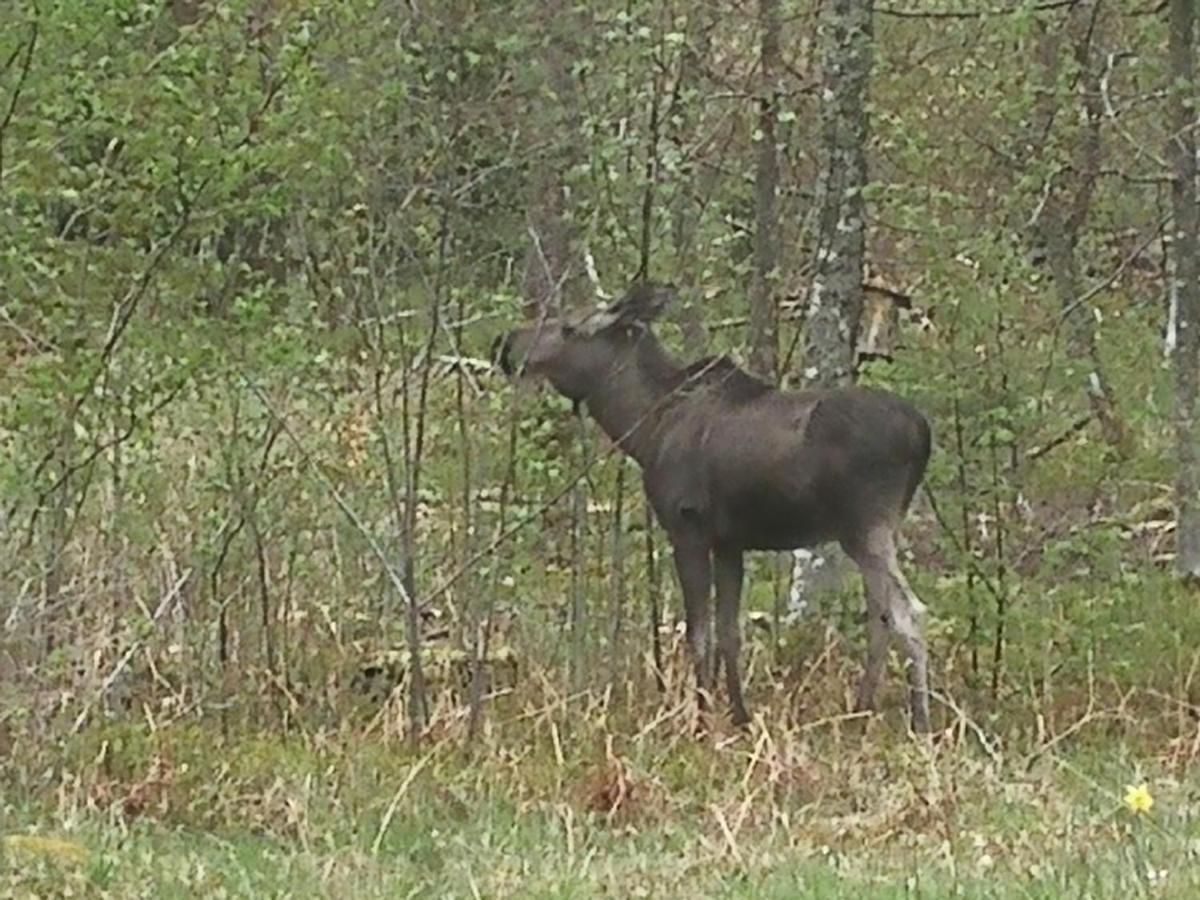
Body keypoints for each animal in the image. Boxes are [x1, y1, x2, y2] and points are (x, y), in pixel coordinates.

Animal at [496, 285, 936, 734]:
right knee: (881, 616)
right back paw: (861, 712)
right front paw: (739, 716)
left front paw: (701, 722)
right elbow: (729, 632)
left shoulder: (687, 528)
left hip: (865, 525)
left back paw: (921, 722)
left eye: (569, 327)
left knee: (909, 613)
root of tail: (923, 433)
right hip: (874, 530)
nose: (505, 345)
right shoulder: (729, 543)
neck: (645, 430)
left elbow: (699, 634)